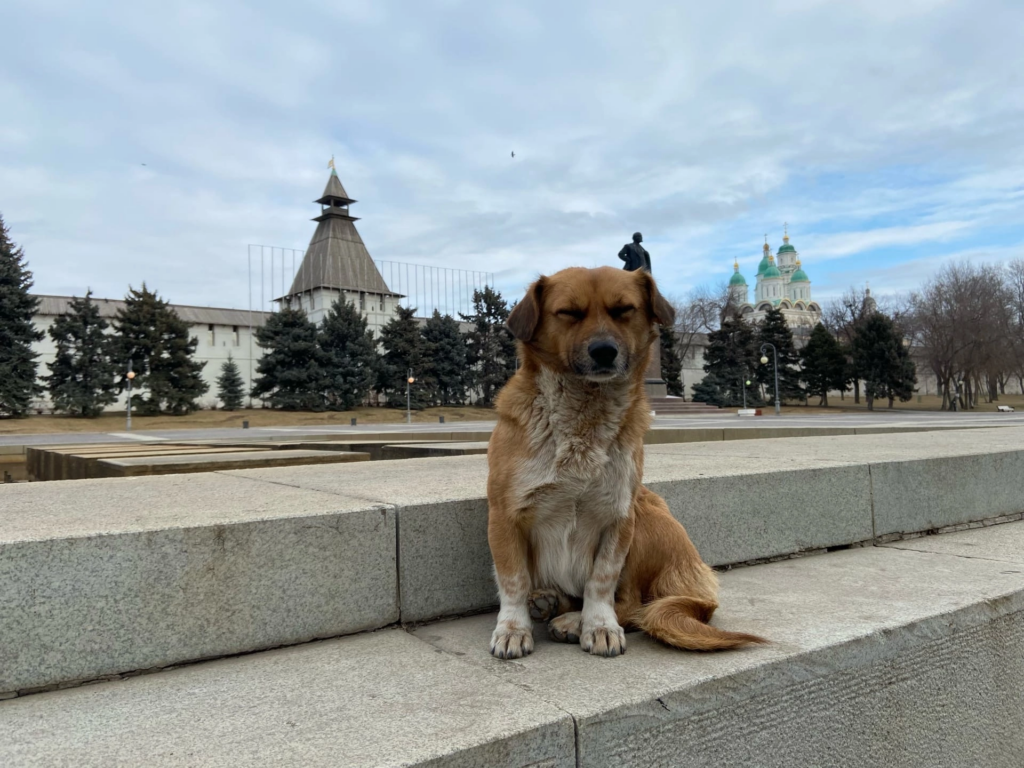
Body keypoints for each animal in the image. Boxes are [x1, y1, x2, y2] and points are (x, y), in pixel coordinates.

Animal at [485, 268, 761, 659]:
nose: (604, 351)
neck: (584, 416)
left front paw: (598, 625)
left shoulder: (618, 517)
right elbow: (514, 581)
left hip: (642, 520)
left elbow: (601, 582)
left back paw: (574, 620)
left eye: (623, 310)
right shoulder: (505, 515)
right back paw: (550, 602)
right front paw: (513, 627)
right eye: (569, 312)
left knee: (632, 605)